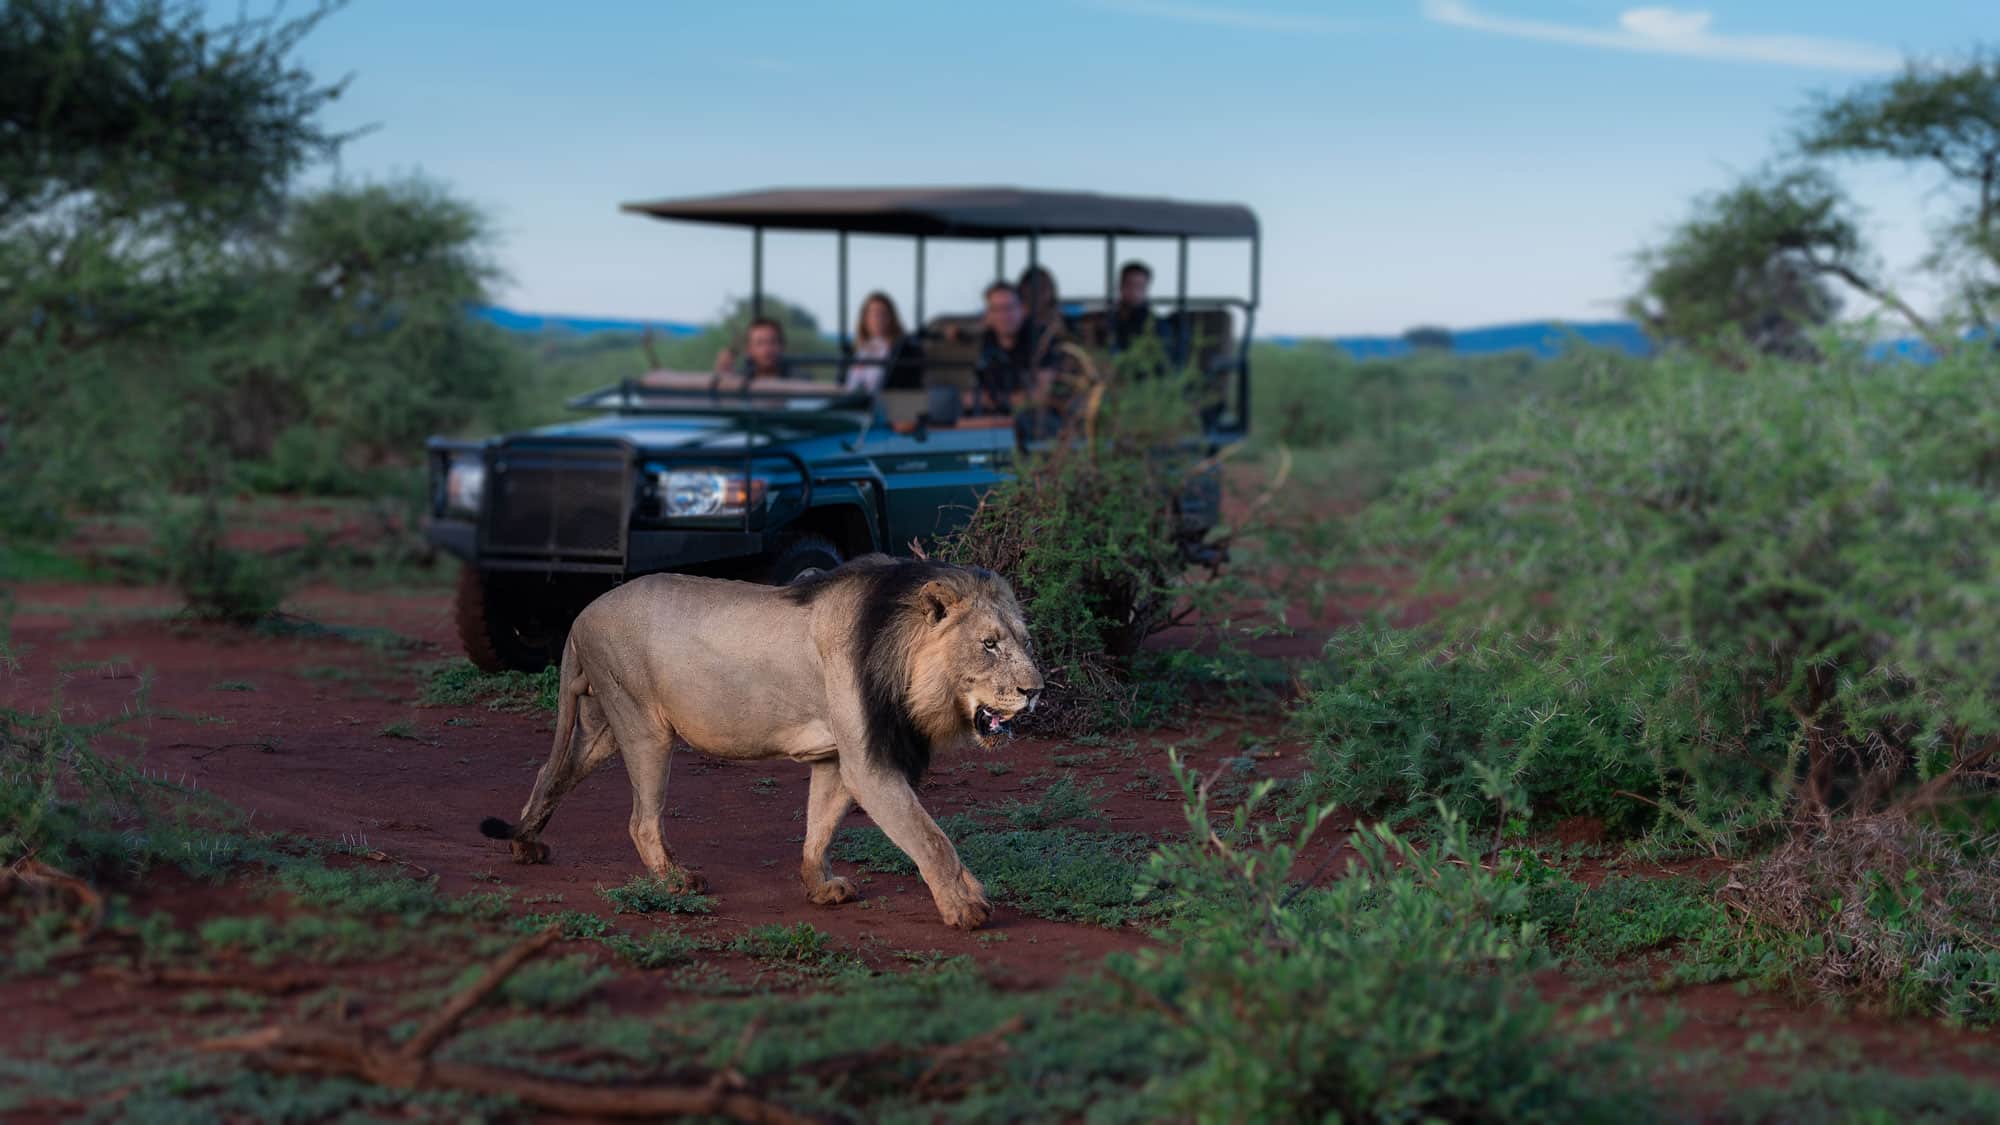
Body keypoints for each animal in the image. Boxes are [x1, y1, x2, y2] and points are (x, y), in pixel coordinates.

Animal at [480, 552, 1048, 928]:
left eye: (1024, 641)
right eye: (989, 644)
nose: (1035, 691)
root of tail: (581, 616)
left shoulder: (837, 758)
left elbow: (820, 827)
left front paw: (819, 886)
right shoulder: (869, 764)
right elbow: (930, 837)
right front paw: (965, 905)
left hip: (603, 725)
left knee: (551, 771)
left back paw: (524, 842)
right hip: (644, 726)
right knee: (641, 820)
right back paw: (674, 880)